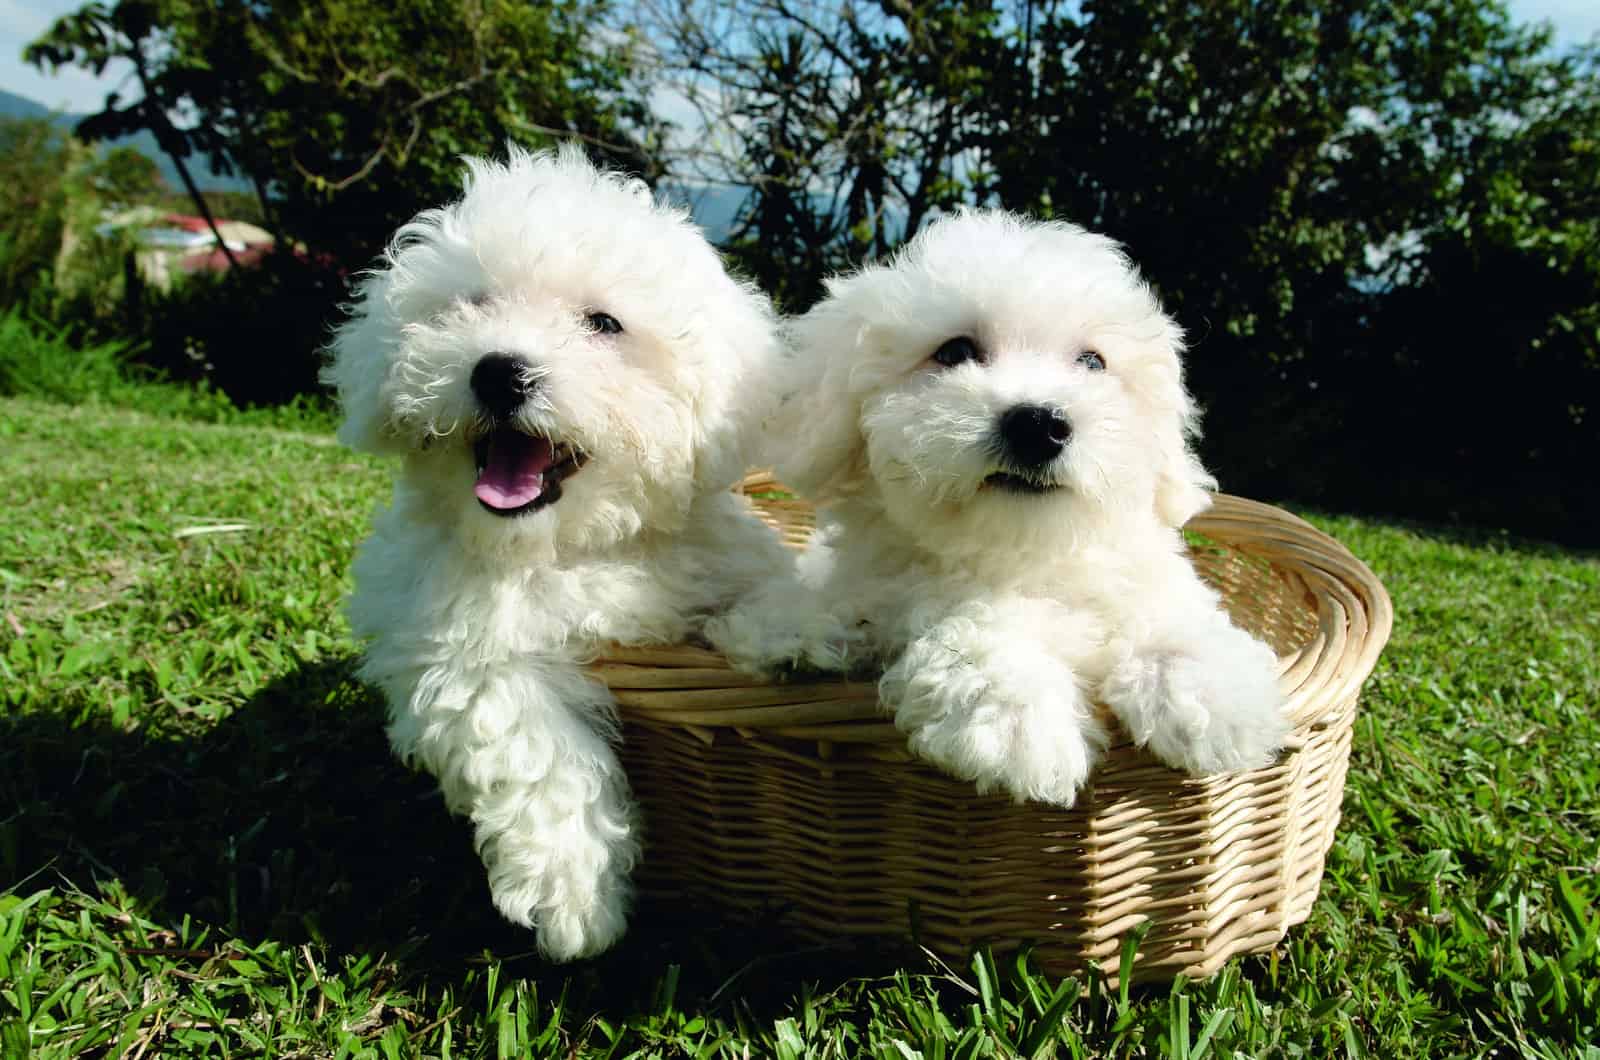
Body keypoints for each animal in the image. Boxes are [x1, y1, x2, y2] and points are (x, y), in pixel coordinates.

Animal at [321, 145, 784, 967]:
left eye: (603, 324)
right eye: (471, 304)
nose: (498, 370)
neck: (573, 545)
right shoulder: (457, 644)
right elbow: (527, 739)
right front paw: (577, 899)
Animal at [710, 204, 1286, 807]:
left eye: (1093, 362)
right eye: (954, 351)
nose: (1039, 424)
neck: (1024, 549)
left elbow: (1170, 612)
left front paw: (1213, 695)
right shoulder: (914, 596)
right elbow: (977, 626)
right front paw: (1017, 722)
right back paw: (796, 643)